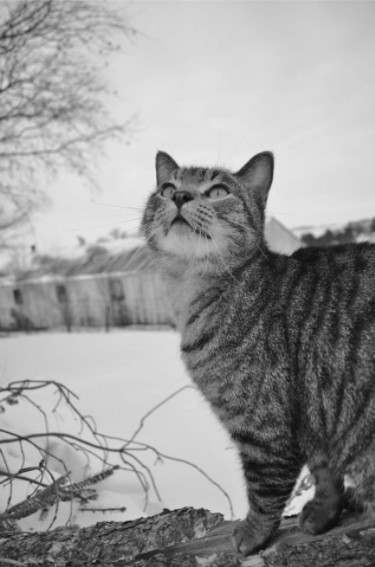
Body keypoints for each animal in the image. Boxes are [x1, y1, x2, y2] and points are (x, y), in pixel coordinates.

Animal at [141, 151, 375, 560]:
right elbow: (324, 471)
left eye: (219, 191)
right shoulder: (311, 414)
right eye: (167, 188)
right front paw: (323, 513)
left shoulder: (265, 428)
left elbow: (264, 490)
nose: (181, 196)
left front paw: (252, 535)